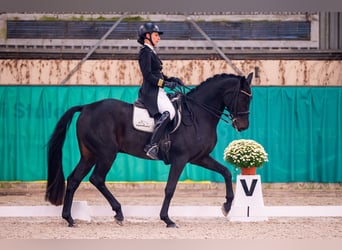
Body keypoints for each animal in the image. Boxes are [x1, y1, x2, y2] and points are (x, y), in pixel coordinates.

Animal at [45, 72, 252, 227]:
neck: (198, 115)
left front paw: (227, 206)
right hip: (106, 154)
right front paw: (167, 220)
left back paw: (69, 218)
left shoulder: (199, 158)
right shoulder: (180, 159)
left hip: (89, 155)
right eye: (242, 97)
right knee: (97, 179)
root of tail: (86, 107)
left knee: (74, 180)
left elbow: (225, 172)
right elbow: (170, 188)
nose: (243, 126)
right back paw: (118, 213)